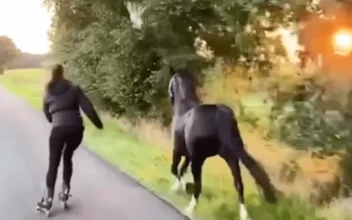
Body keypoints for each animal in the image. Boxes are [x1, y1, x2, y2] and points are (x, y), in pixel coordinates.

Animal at [168, 68, 278, 219]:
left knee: (198, 185)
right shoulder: (189, 155)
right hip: (231, 157)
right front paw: (180, 187)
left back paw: (189, 210)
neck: (184, 106)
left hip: (199, 160)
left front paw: (179, 187)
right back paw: (244, 215)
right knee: (239, 185)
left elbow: (174, 169)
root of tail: (220, 114)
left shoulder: (178, 151)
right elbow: (181, 170)